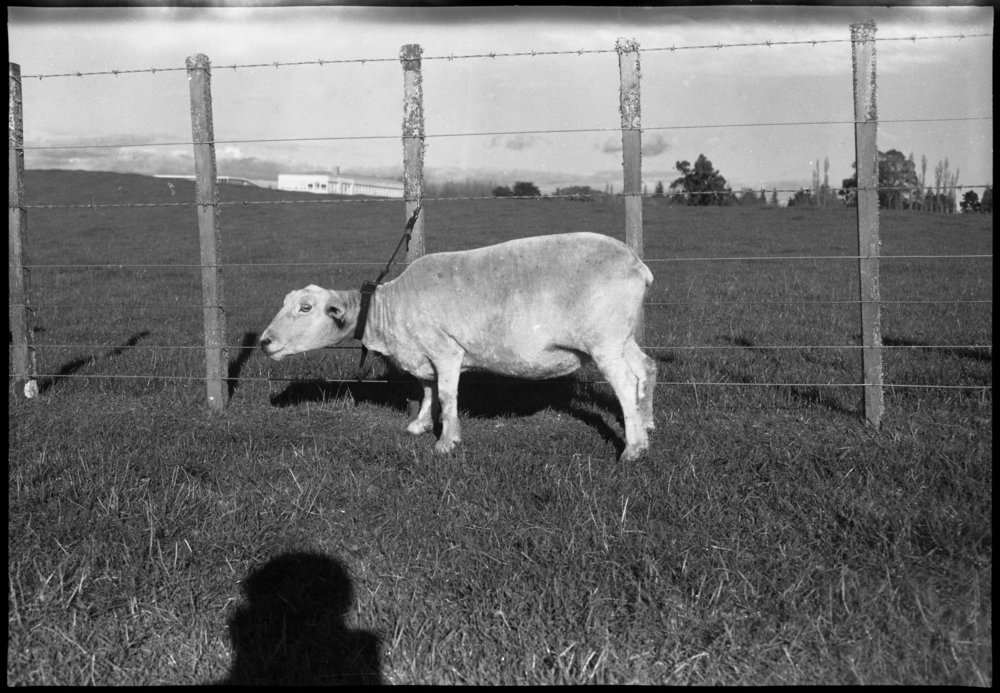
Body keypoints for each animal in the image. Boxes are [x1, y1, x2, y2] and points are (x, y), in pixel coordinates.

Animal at [259, 231, 657, 461]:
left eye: (305, 308)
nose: (264, 342)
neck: (387, 310)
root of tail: (638, 265)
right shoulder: (424, 354)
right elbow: (427, 388)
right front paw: (420, 425)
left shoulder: (445, 350)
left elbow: (448, 395)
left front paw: (447, 441)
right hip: (622, 336)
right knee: (646, 368)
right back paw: (648, 422)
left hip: (604, 338)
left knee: (624, 383)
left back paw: (633, 448)